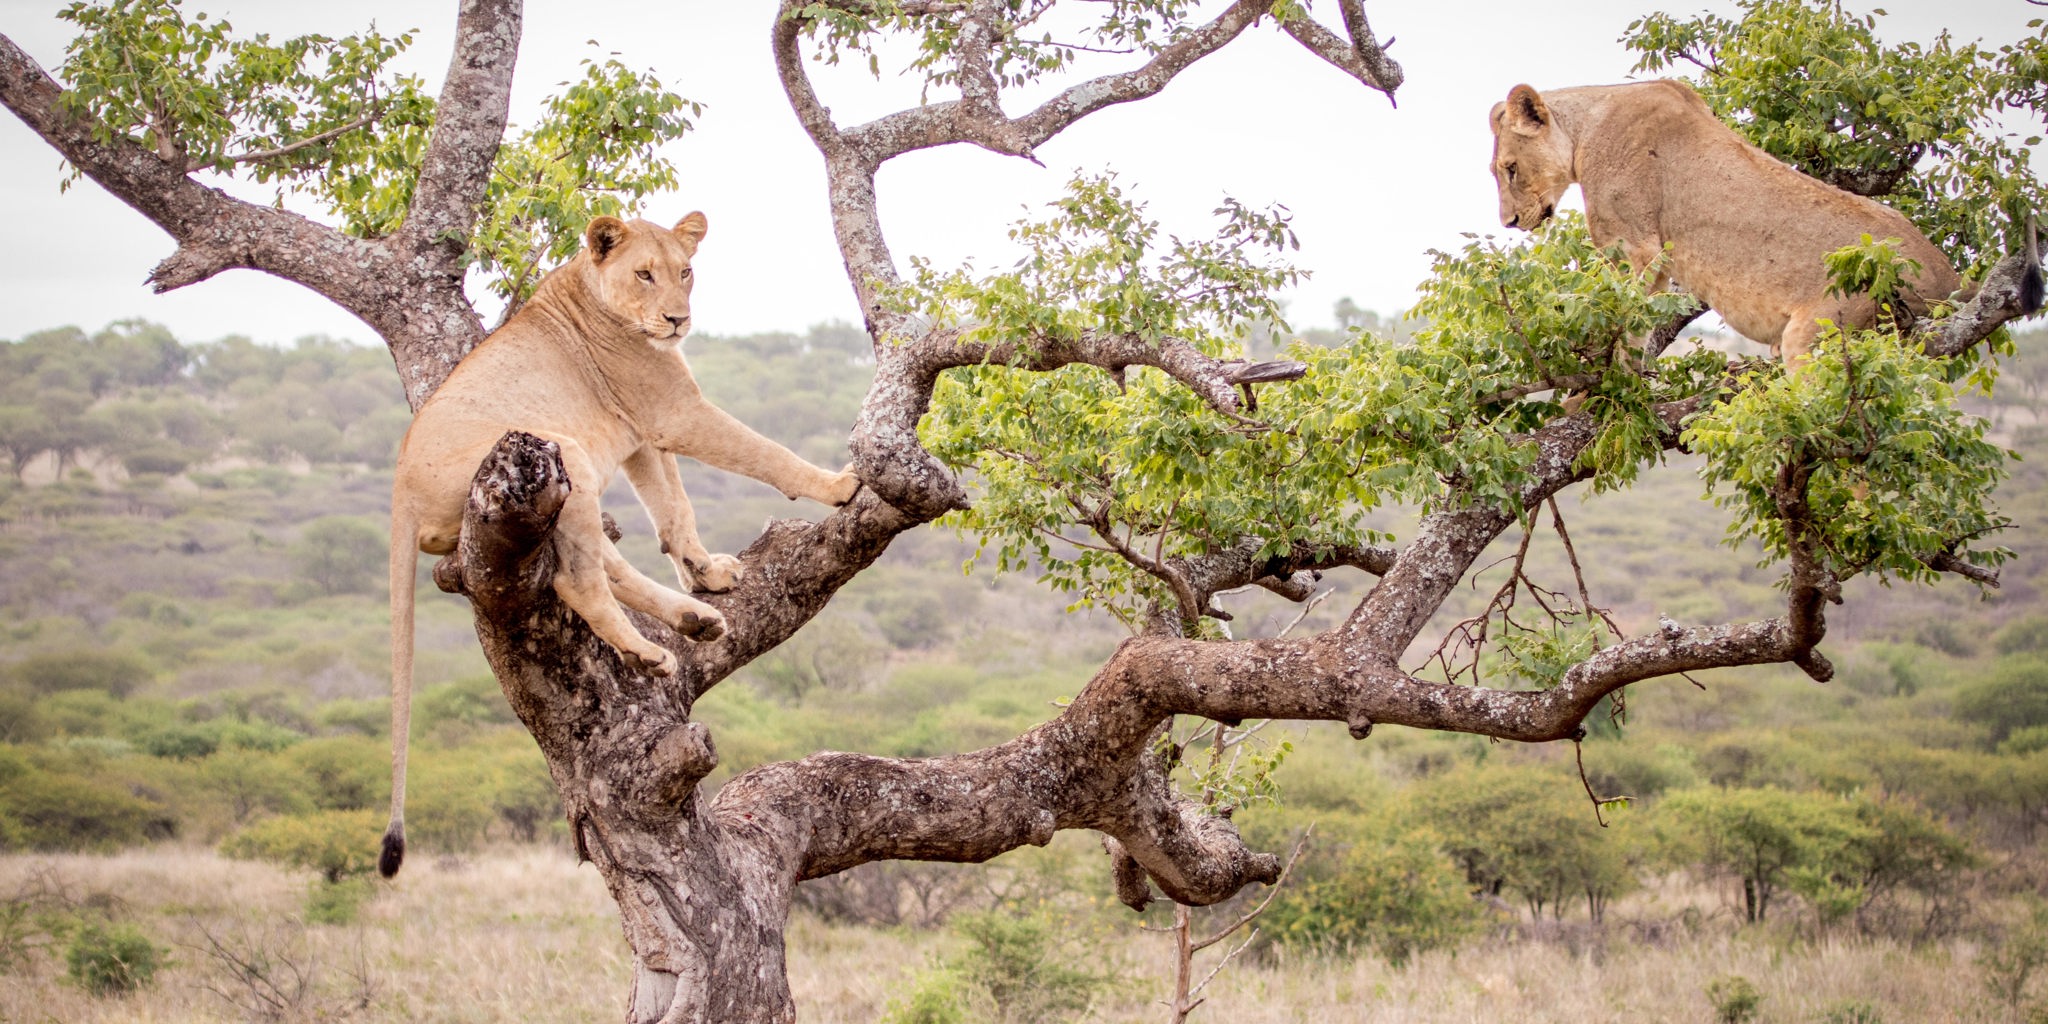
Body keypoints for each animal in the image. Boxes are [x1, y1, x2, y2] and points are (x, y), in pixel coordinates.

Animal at [382, 212, 860, 877]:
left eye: (685, 271)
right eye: (644, 274)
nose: (677, 319)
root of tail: (399, 487)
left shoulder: (641, 437)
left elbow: (674, 510)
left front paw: (706, 572)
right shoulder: (674, 413)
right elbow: (765, 452)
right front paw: (838, 485)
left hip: (568, 482)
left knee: (599, 567)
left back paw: (694, 619)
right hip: (561, 451)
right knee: (576, 580)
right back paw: (649, 654)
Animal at [1487, 79, 1961, 365]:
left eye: (1510, 169)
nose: (1510, 222)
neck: (1584, 129)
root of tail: (1951, 281)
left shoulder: (1634, 247)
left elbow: (1622, 325)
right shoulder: (1656, 263)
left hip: (1820, 332)